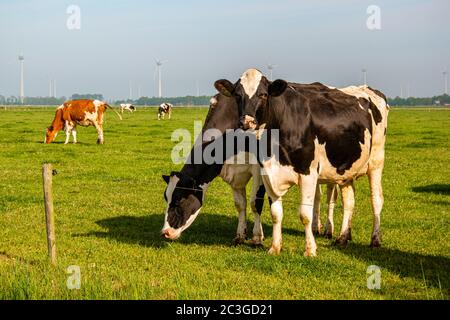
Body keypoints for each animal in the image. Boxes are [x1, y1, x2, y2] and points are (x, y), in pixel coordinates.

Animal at [162, 94, 268, 245]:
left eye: (179, 201)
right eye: (166, 198)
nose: (165, 232)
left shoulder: (259, 169)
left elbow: (255, 203)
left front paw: (257, 238)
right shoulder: (233, 173)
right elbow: (240, 204)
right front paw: (240, 236)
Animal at [214, 69, 386, 256]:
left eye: (263, 94)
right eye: (238, 95)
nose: (247, 122)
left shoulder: (308, 174)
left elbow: (305, 214)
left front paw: (310, 249)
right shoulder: (269, 174)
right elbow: (276, 213)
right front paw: (275, 247)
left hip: (376, 161)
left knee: (376, 199)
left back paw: (375, 239)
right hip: (345, 169)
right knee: (349, 201)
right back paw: (342, 237)